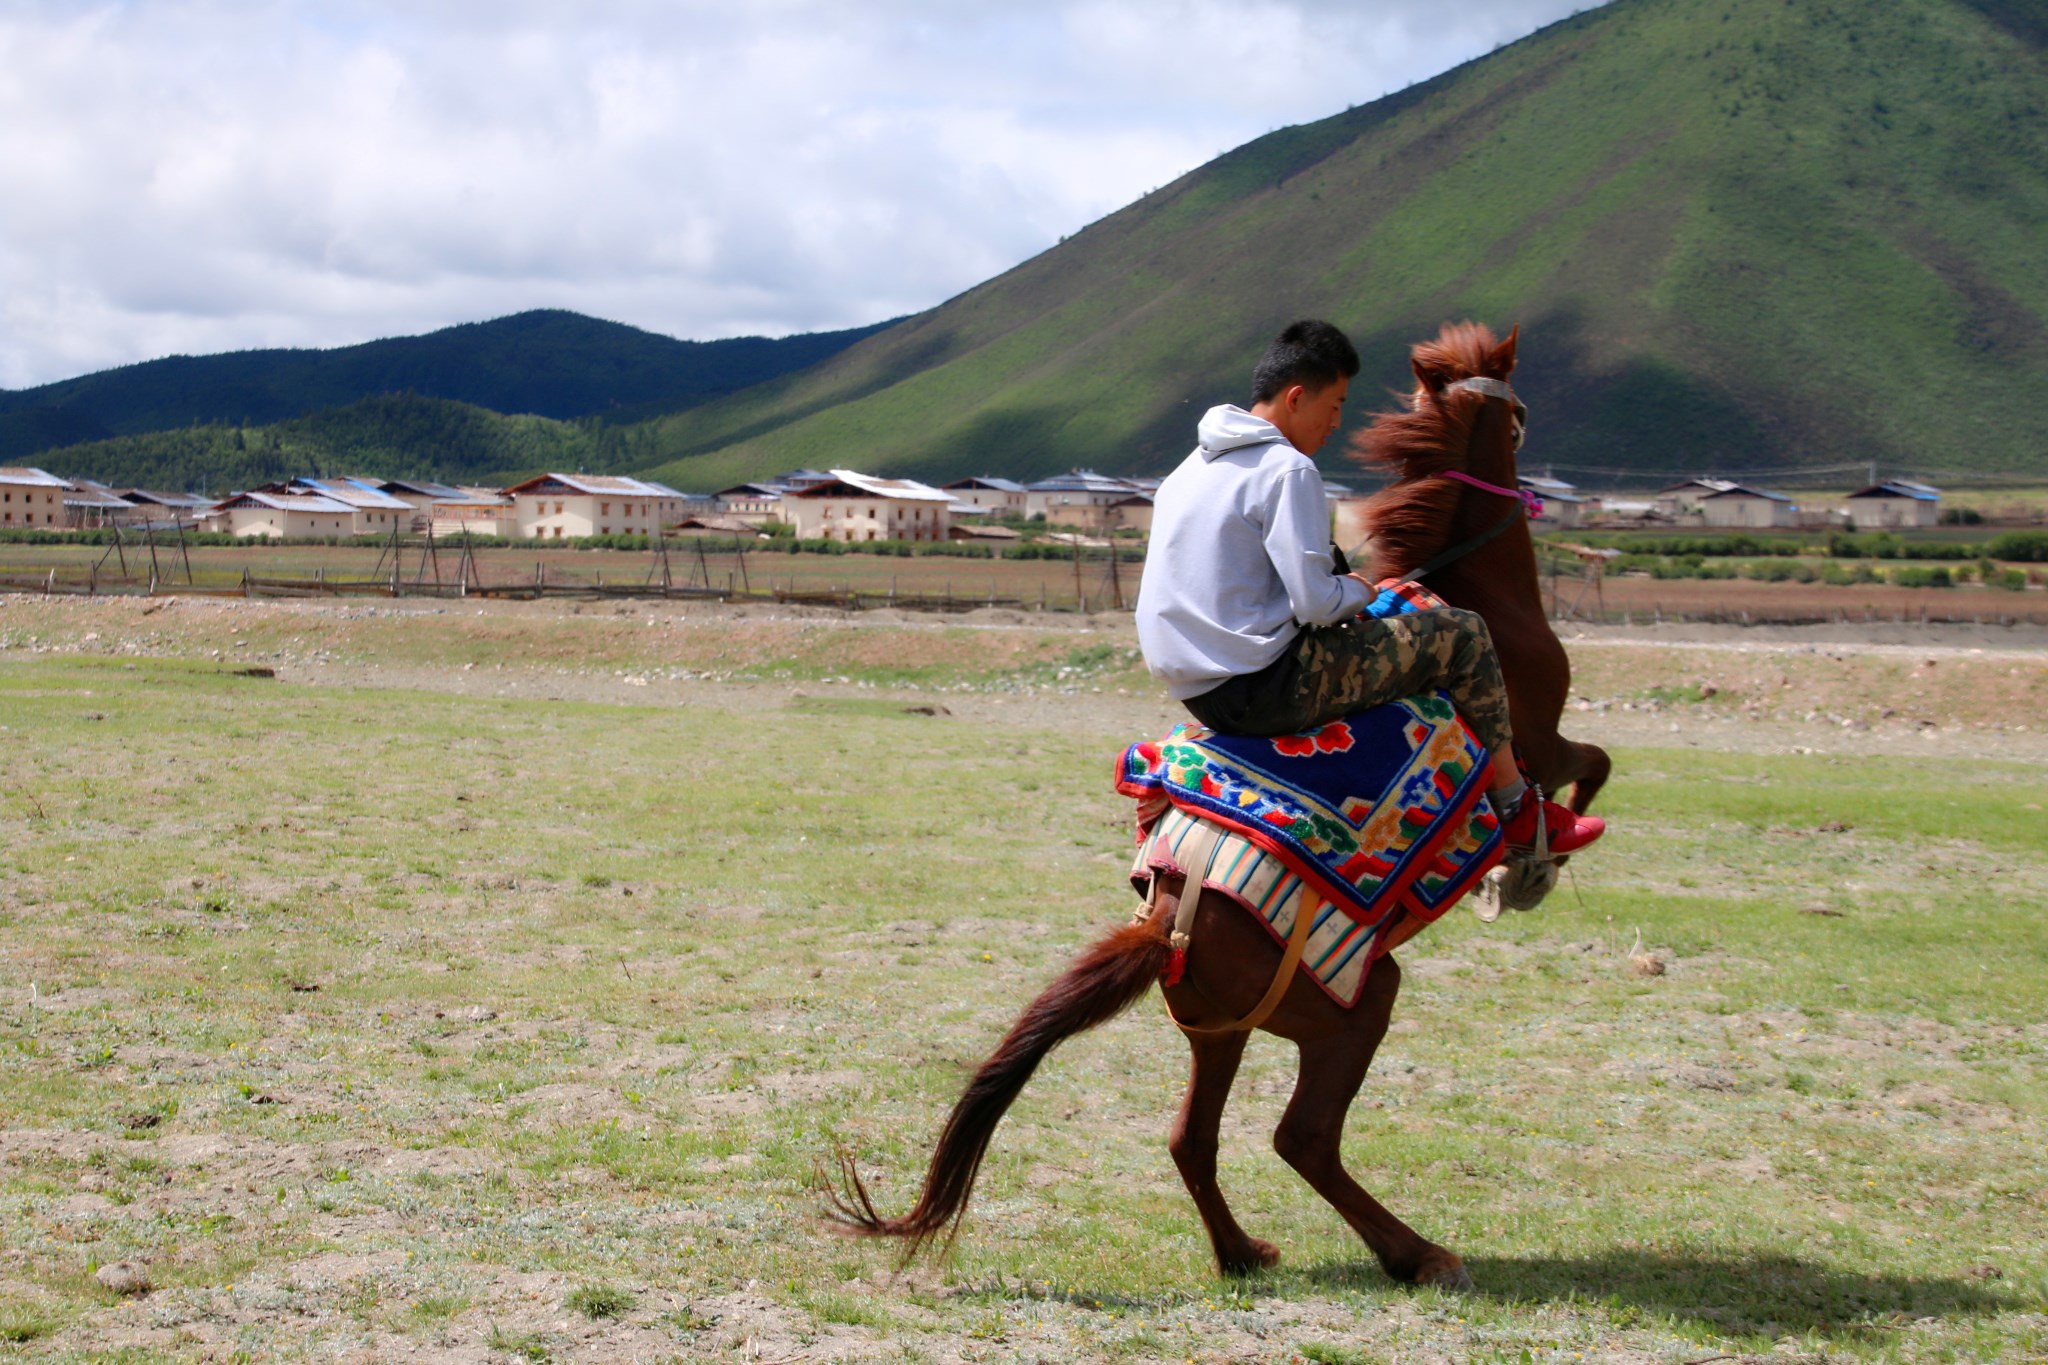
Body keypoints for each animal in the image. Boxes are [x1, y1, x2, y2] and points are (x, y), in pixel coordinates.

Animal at [827, 321, 1597, 1293]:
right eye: (1520, 409)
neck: (1473, 583)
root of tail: (1170, 919)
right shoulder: (1541, 736)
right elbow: (1586, 768)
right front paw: (1538, 857)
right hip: (1355, 999)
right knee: (1302, 1137)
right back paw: (1415, 1252)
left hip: (1221, 1028)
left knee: (1192, 1140)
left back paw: (1241, 1251)